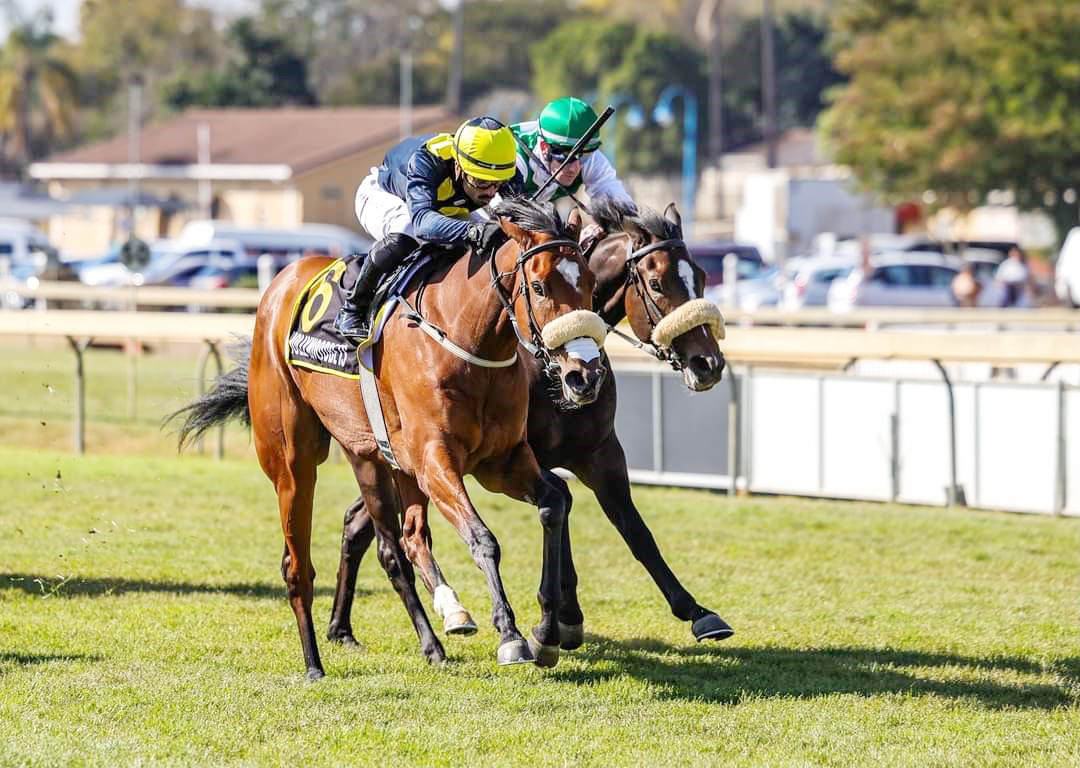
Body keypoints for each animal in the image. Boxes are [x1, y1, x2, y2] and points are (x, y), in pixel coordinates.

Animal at [171, 198, 609, 678]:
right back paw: (314, 662)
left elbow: (554, 503)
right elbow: (482, 538)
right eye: (540, 286)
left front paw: (548, 631)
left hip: (373, 456)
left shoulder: (501, 460)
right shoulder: (436, 460)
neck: (464, 339)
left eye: (589, 283)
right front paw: (511, 636)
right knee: (304, 562)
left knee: (402, 542)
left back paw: (440, 625)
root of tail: (282, 281)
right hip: (294, 462)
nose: (584, 376)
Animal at [328, 200, 734, 652]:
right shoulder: (528, 454)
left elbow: (634, 530)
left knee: (359, 522)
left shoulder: (599, 452)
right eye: (658, 282)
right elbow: (564, 508)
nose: (708, 363)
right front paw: (558, 620)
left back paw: (343, 626)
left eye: (700, 278)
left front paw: (697, 612)